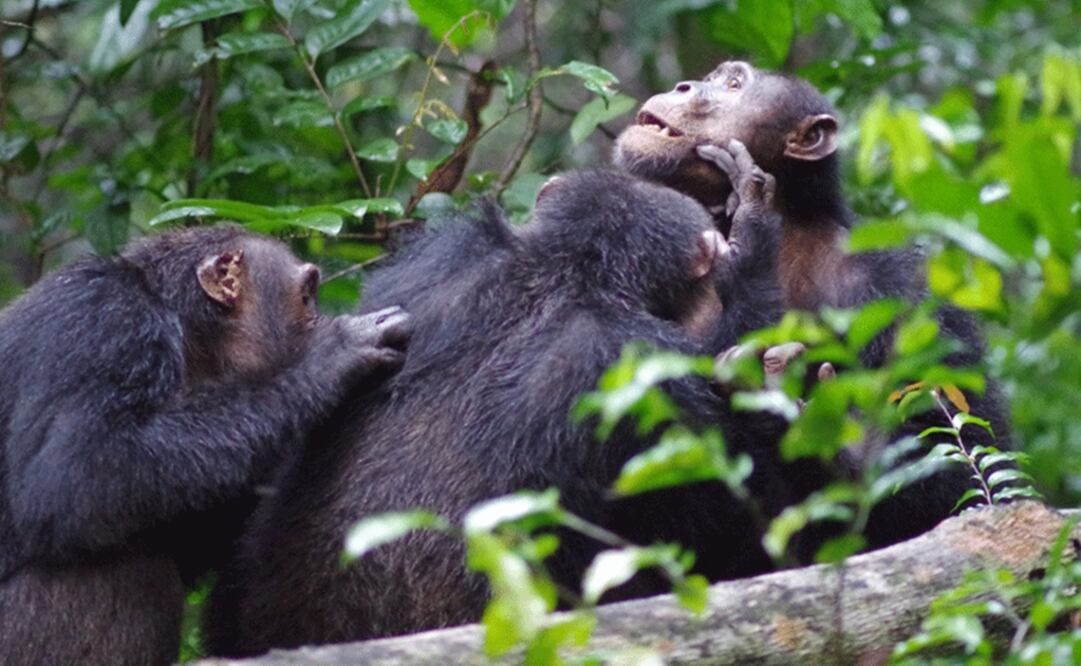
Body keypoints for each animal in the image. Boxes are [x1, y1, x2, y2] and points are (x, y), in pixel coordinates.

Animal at [0, 225, 411, 666]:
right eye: (305, 296)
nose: (321, 316)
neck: (185, 332)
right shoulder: (103, 320)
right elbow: (76, 466)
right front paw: (330, 355)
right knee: (128, 567)